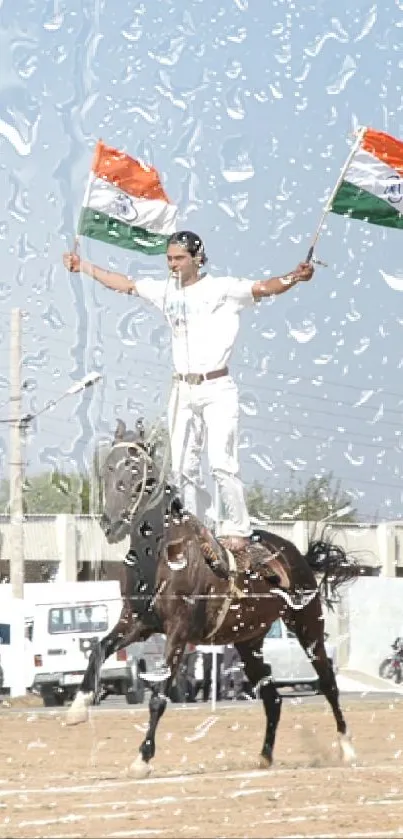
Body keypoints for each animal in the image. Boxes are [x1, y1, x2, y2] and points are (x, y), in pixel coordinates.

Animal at [68, 424, 362, 776]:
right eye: (108, 468)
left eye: (142, 476)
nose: (110, 524)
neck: (160, 556)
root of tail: (297, 555)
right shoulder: (137, 623)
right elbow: (99, 648)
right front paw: (78, 707)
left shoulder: (178, 632)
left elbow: (159, 696)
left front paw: (142, 758)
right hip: (248, 642)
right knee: (273, 698)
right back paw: (264, 756)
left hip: (307, 625)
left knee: (328, 682)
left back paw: (347, 749)